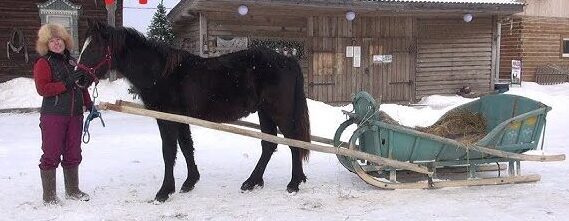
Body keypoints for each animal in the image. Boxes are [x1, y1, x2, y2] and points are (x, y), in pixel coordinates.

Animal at [76, 20, 310, 202]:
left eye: (94, 48)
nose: (78, 79)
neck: (160, 73)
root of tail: (288, 60)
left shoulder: (167, 119)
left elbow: (169, 152)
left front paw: (164, 191)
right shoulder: (180, 118)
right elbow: (186, 147)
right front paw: (190, 182)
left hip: (280, 112)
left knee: (293, 143)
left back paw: (294, 183)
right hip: (265, 112)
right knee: (269, 145)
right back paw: (252, 182)